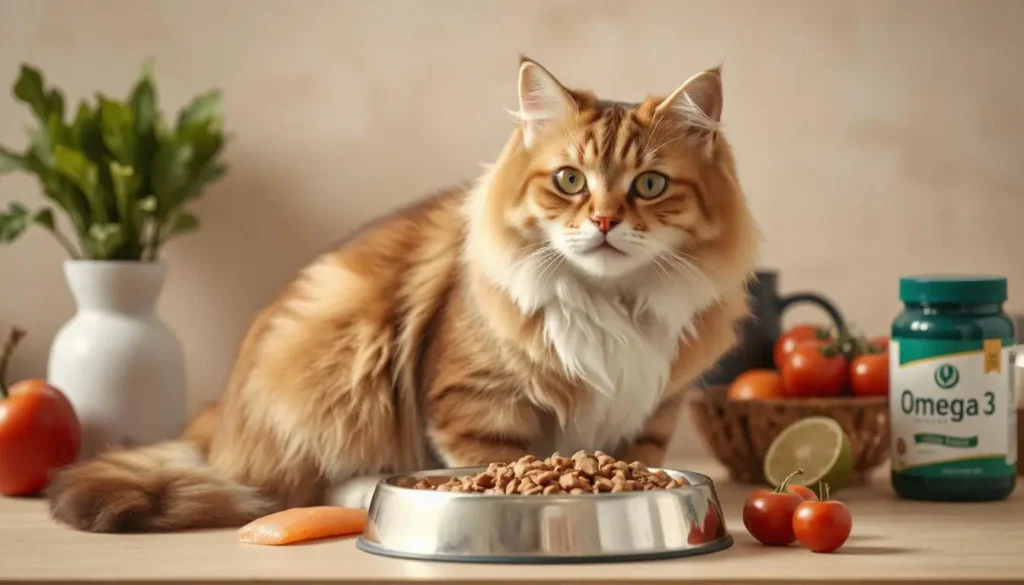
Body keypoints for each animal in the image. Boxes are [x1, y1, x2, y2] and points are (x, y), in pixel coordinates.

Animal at [44, 57, 761, 532]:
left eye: (649, 185)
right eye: (568, 180)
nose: (607, 221)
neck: (611, 304)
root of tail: (217, 422)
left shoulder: (654, 411)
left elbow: (641, 457)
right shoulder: (474, 403)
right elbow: (499, 463)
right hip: (347, 359)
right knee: (295, 486)